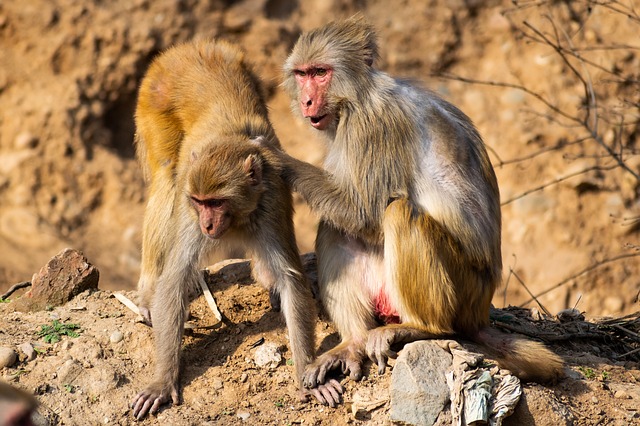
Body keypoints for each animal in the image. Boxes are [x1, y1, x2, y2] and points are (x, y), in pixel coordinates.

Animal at [129, 38, 336, 418]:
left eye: (216, 202)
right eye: (201, 202)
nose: (208, 223)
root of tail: (188, 48)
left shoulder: (271, 200)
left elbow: (290, 278)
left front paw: (306, 372)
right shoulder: (189, 202)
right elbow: (175, 277)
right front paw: (163, 380)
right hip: (153, 99)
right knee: (166, 177)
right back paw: (148, 290)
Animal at [258, 15, 564, 404]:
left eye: (320, 72)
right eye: (301, 74)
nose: (307, 99)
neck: (358, 95)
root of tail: (480, 313)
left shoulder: (373, 126)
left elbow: (363, 214)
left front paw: (273, 157)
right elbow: (352, 218)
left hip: (463, 291)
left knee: (397, 214)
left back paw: (423, 328)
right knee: (335, 227)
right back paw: (353, 342)